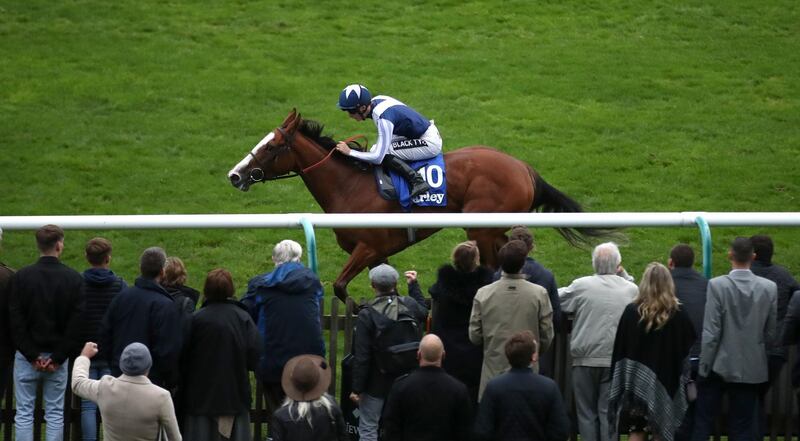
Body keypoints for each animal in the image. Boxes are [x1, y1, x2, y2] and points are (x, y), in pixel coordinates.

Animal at [228, 108, 604, 300]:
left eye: (270, 147)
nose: (235, 175)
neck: (349, 186)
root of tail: (525, 168)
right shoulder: (376, 254)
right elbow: (380, 285)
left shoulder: (368, 246)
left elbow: (339, 286)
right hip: (492, 227)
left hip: (480, 227)